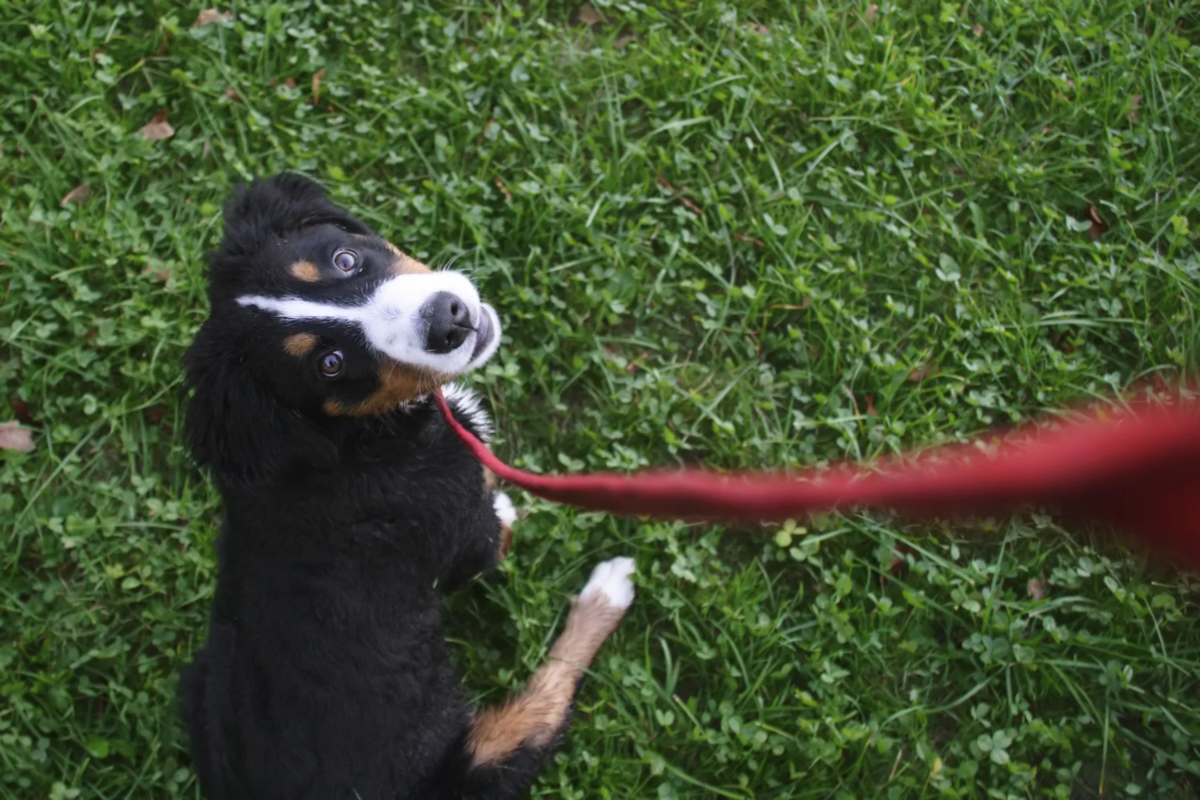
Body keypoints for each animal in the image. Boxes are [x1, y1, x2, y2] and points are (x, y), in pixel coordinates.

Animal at [180, 172, 638, 796]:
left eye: (344, 260)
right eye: (330, 363)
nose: (450, 319)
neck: (357, 439)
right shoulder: (462, 535)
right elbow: (492, 535)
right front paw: (508, 509)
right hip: (472, 761)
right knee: (548, 701)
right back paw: (607, 591)